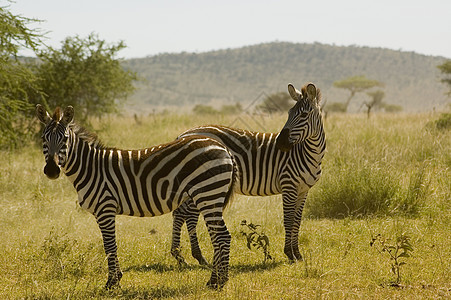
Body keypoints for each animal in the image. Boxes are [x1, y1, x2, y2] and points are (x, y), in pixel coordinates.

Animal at [35, 104, 237, 290]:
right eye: (44, 139)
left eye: (65, 139)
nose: (51, 170)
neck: (91, 168)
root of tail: (223, 148)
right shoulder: (103, 212)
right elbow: (109, 245)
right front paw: (116, 278)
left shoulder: (105, 208)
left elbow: (109, 246)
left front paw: (112, 283)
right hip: (210, 196)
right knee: (218, 236)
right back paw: (217, 280)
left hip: (208, 193)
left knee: (222, 237)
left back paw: (218, 282)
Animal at [171, 82, 326, 264]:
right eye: (289, 113)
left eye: (303, 115)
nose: (280, 143)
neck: (308, 153)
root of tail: (183, 134)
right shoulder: (289, 185)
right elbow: (288, 220)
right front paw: (289, 253)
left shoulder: (303, 190)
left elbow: (297, 221)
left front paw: (298, 254)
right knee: (185, 215)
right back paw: (186, 256)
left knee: (183, 214)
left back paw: (187, 256)